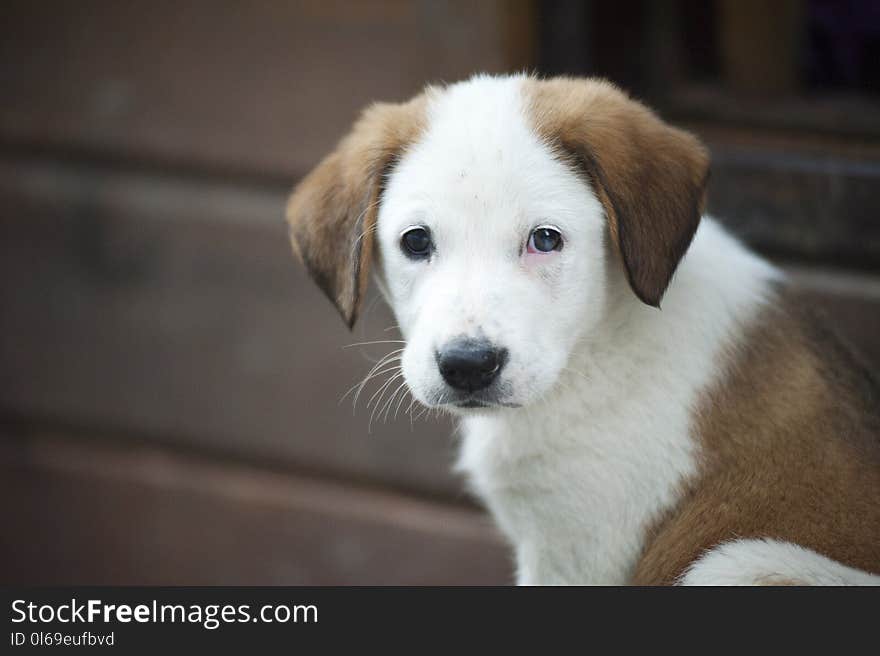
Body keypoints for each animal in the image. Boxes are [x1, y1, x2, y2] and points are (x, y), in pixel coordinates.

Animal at [286, 75, 876, 584]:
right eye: (415, 241)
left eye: (545, 239)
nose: (468, 366)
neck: (593, 352)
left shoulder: (576, 549)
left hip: (739, 560)